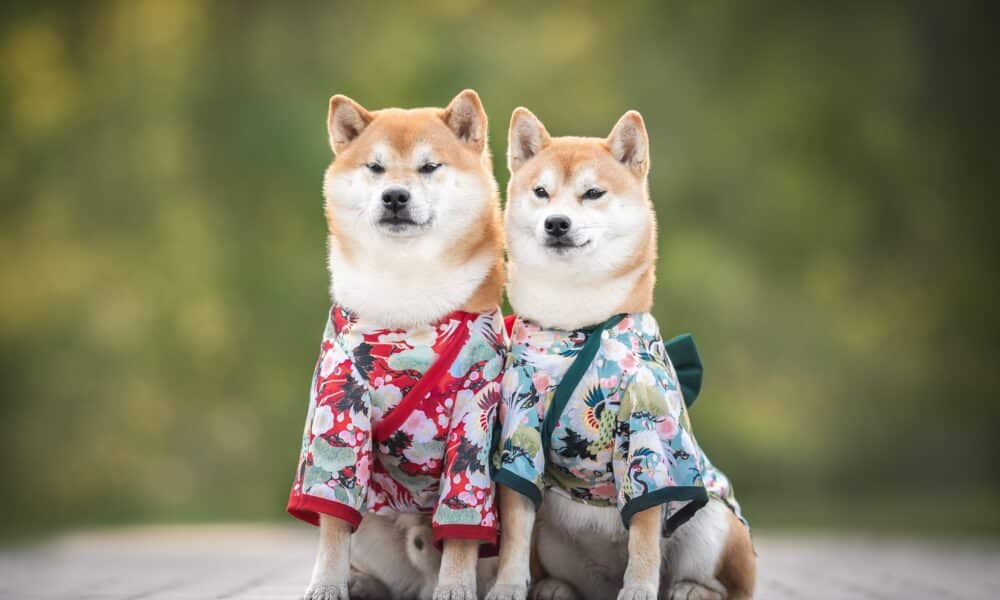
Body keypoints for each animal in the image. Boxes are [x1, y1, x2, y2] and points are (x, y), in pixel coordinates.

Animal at [290, 90, 508, 600]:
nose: (395, 196)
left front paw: (456, 587)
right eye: (375, 167)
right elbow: (332, 516)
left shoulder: (475, 410)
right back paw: (361, 582)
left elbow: (462, 522)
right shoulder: (339, 400)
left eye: (429, 167)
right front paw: (326, 585)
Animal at [486, 109, 756, 600]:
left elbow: (645, 536)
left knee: (727, 584)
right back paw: (555, 588)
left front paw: (639, 590)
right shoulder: (518, 427)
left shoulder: (648, 437)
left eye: (593, 193)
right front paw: (508, 587)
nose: (556, 222)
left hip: (713, 518)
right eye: (540, 192)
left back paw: (691, 589)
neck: (575, 325)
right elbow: (514, 530)